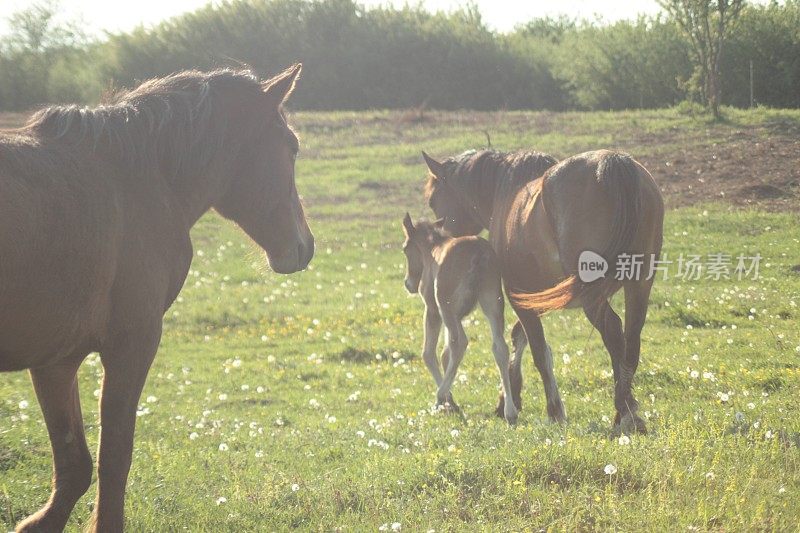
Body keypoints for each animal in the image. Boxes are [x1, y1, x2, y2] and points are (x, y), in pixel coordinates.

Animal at [0, 64, 312, 528]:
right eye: (291, 147)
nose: (305, 246)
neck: (134, 182)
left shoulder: (56, 359)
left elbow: (74, 466)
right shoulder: (132, 344)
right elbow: (114, 461)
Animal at [400, 213, 520, 424]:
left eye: (405, 248)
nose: (409, 284)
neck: (431, 250)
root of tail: (479, 255)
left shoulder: (433, 309)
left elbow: (429, 353)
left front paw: (448, 401)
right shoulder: (458, 315)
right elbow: (445, 354)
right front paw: (451, 401)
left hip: (445, 306)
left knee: (460, 342)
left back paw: (440, 396)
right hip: (493, 302)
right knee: (500, 347)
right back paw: (510, 411)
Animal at [424, 149, 664, 432]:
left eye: (433, 200)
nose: (447, 242)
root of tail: (613, 160)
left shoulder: (516, 292)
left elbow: (537, 349)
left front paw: (553, 410)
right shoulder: (532, 295)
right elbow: (520, 337)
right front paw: (510, 397)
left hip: (593, 293)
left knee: (615, 335)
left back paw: (624, 411)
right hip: (639, 284)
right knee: (631, 340)